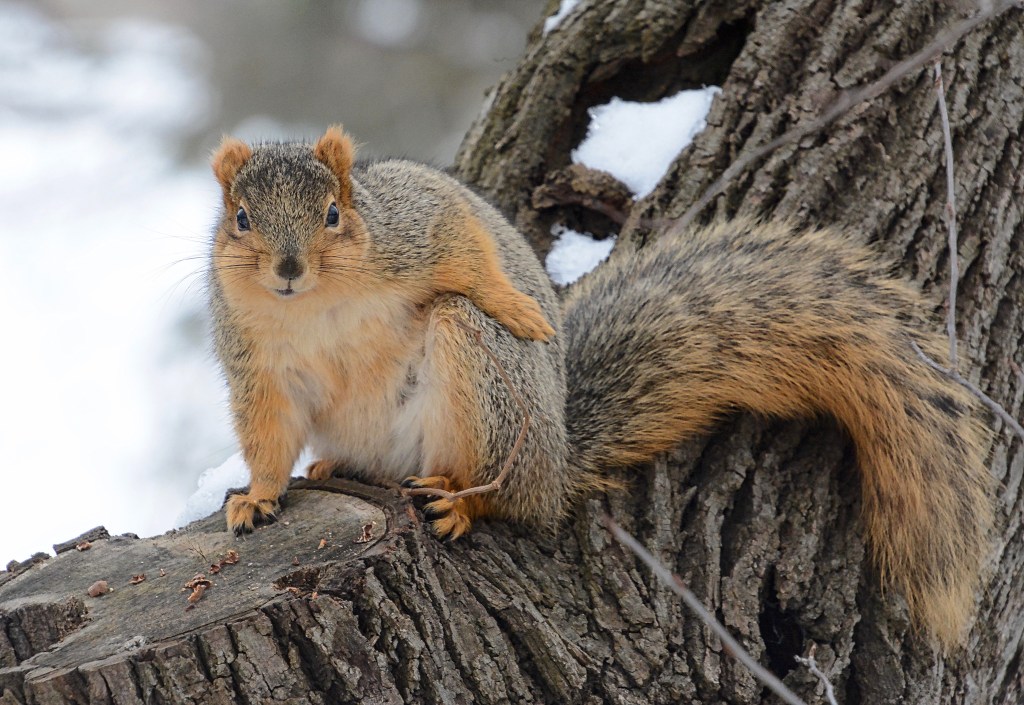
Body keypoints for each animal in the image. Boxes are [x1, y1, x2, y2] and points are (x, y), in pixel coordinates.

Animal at [208, 125, 992, 647]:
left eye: (334, 215)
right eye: (239, 219)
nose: (287, 268)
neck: (313, 303)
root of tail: (557, 461)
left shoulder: (413, 222)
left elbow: (465, 242)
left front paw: (523, 306)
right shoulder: (255, 359)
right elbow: (267, 431)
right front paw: (258, 497)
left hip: (487, 393)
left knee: (507, 493)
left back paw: (461, 501)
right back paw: (333, 467)